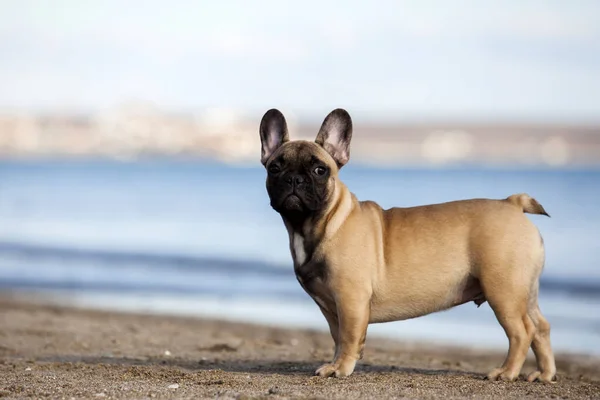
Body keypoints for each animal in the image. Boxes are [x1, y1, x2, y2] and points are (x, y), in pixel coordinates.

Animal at [258, 108, 556, 382]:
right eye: (274, 168)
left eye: (319, 170)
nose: (294, 179)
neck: (319, 223)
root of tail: (513, 203)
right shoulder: (331, 307)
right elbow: (339, 337)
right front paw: (338, 362)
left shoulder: (350, 299)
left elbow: (348, 336)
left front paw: (339, 368)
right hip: (524, 290)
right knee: (540, 327)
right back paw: (544, 374)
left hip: (503, 291)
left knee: (521, 332)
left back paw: (506, 372)